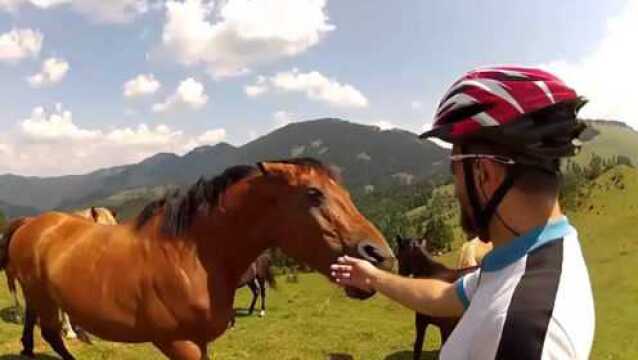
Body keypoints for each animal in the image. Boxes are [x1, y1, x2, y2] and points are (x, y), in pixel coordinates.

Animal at [0, 159, 398, 358]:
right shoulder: (180, 344)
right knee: (51, 333)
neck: (191, 257)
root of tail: (31, 224)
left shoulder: (200, 342)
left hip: (40, 294)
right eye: (313, 193)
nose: (380, 255)